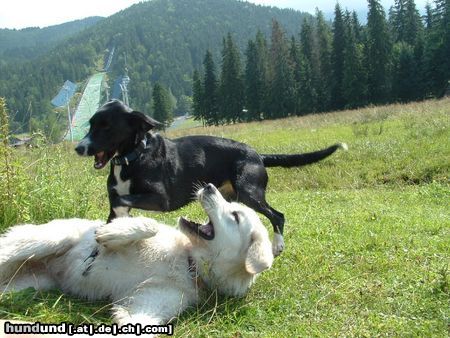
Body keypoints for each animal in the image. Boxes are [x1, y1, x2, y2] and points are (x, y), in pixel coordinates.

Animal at [0, 184, 274, 328]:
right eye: (233, 208)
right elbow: (148, 224)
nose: (209, 186)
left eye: (235, 215)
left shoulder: (146, 306)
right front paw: (111, 234)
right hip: (48, 240)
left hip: (28, 284)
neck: (188, 264)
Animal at [74, 99, 348, 255]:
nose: (78, 148)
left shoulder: (161, 200)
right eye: (91, 124)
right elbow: (114, 212)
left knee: (277, 215)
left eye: (106, 126)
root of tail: (257, 154)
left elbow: (122, 200)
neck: (134, 155)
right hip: (232, 196)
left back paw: (278, 245)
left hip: (249, 192)